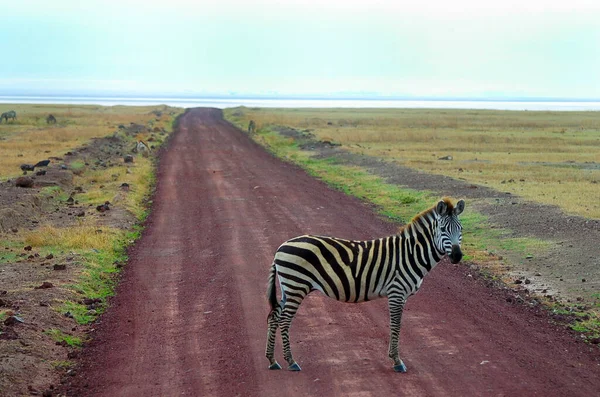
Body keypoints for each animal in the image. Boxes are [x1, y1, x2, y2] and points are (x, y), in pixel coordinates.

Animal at [264, 198, 466, 372]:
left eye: (461, 229)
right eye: (442, 229)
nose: (457, 256)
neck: (410, 254)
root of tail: (281, 247)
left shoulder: (402, 296)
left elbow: (397, 325)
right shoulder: (396, 292)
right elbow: (396, 325)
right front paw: (397, 361)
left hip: (289, 287)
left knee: (275, 317)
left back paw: (273, 361)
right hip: (296, 285)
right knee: (284, 320)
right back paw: (291, 361)